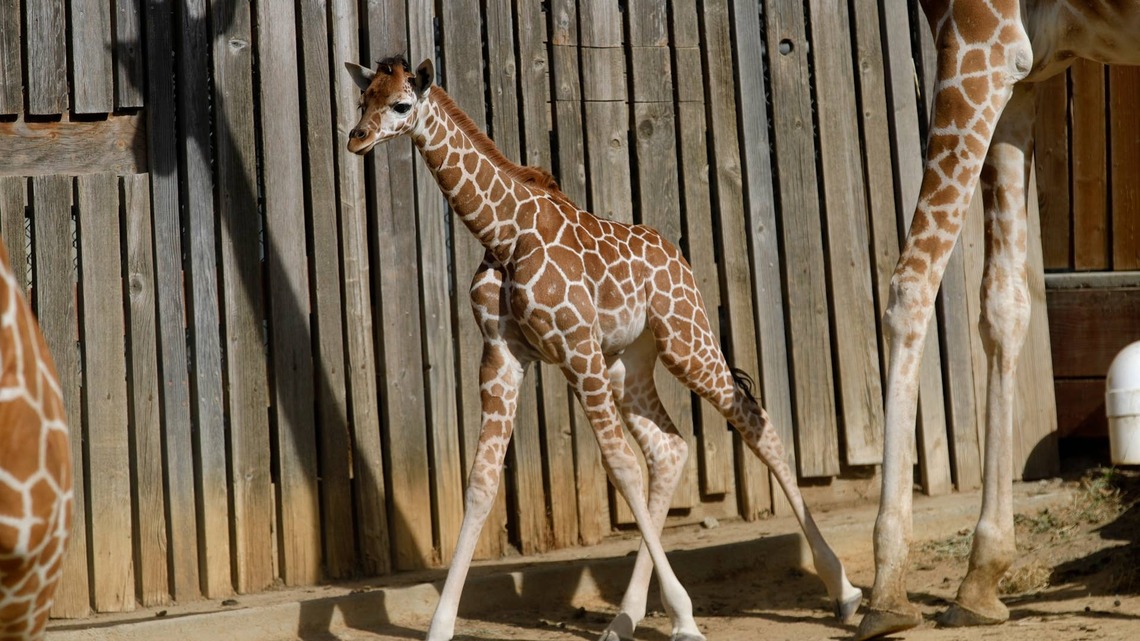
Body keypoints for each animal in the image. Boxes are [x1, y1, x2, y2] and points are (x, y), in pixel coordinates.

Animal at [344, 56, 863, 641]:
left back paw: (843, 591)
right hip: (627, 365)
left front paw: (686, 619)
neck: (503, 234)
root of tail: (679, 257)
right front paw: (439, 627)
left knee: (754, 423)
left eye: (401, 104)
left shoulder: (575, 348)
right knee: (670, 448)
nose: (356, 138)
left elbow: (620, 466)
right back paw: (623, 617)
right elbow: (481, 482)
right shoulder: (502, 356)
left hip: (684, 338)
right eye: (362, 99)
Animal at [858, 2, 1140, 639]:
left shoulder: (976, 40)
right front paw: (982, 578)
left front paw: (886, 589)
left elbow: (911, 283)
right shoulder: (1026, 69)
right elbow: (1004, 302)